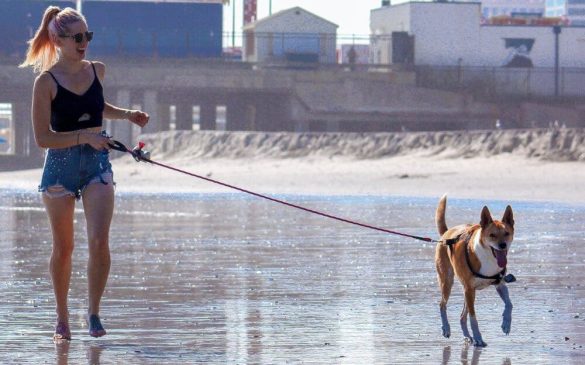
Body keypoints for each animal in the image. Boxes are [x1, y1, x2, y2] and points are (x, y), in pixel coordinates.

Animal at [436, 195, 512, 346]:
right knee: (442, 304)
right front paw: (478, 338)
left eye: (507, 233)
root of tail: (446, 234)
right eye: (492, 235)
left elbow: (509, 304)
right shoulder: (469, 289)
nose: (502, 245)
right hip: (449, 281)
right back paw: (446, 328)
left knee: (461, 316)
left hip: (467, 291)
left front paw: (506, 324)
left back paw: (467, 336)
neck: (488, 257)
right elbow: (473, 318)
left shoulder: (499, 284)